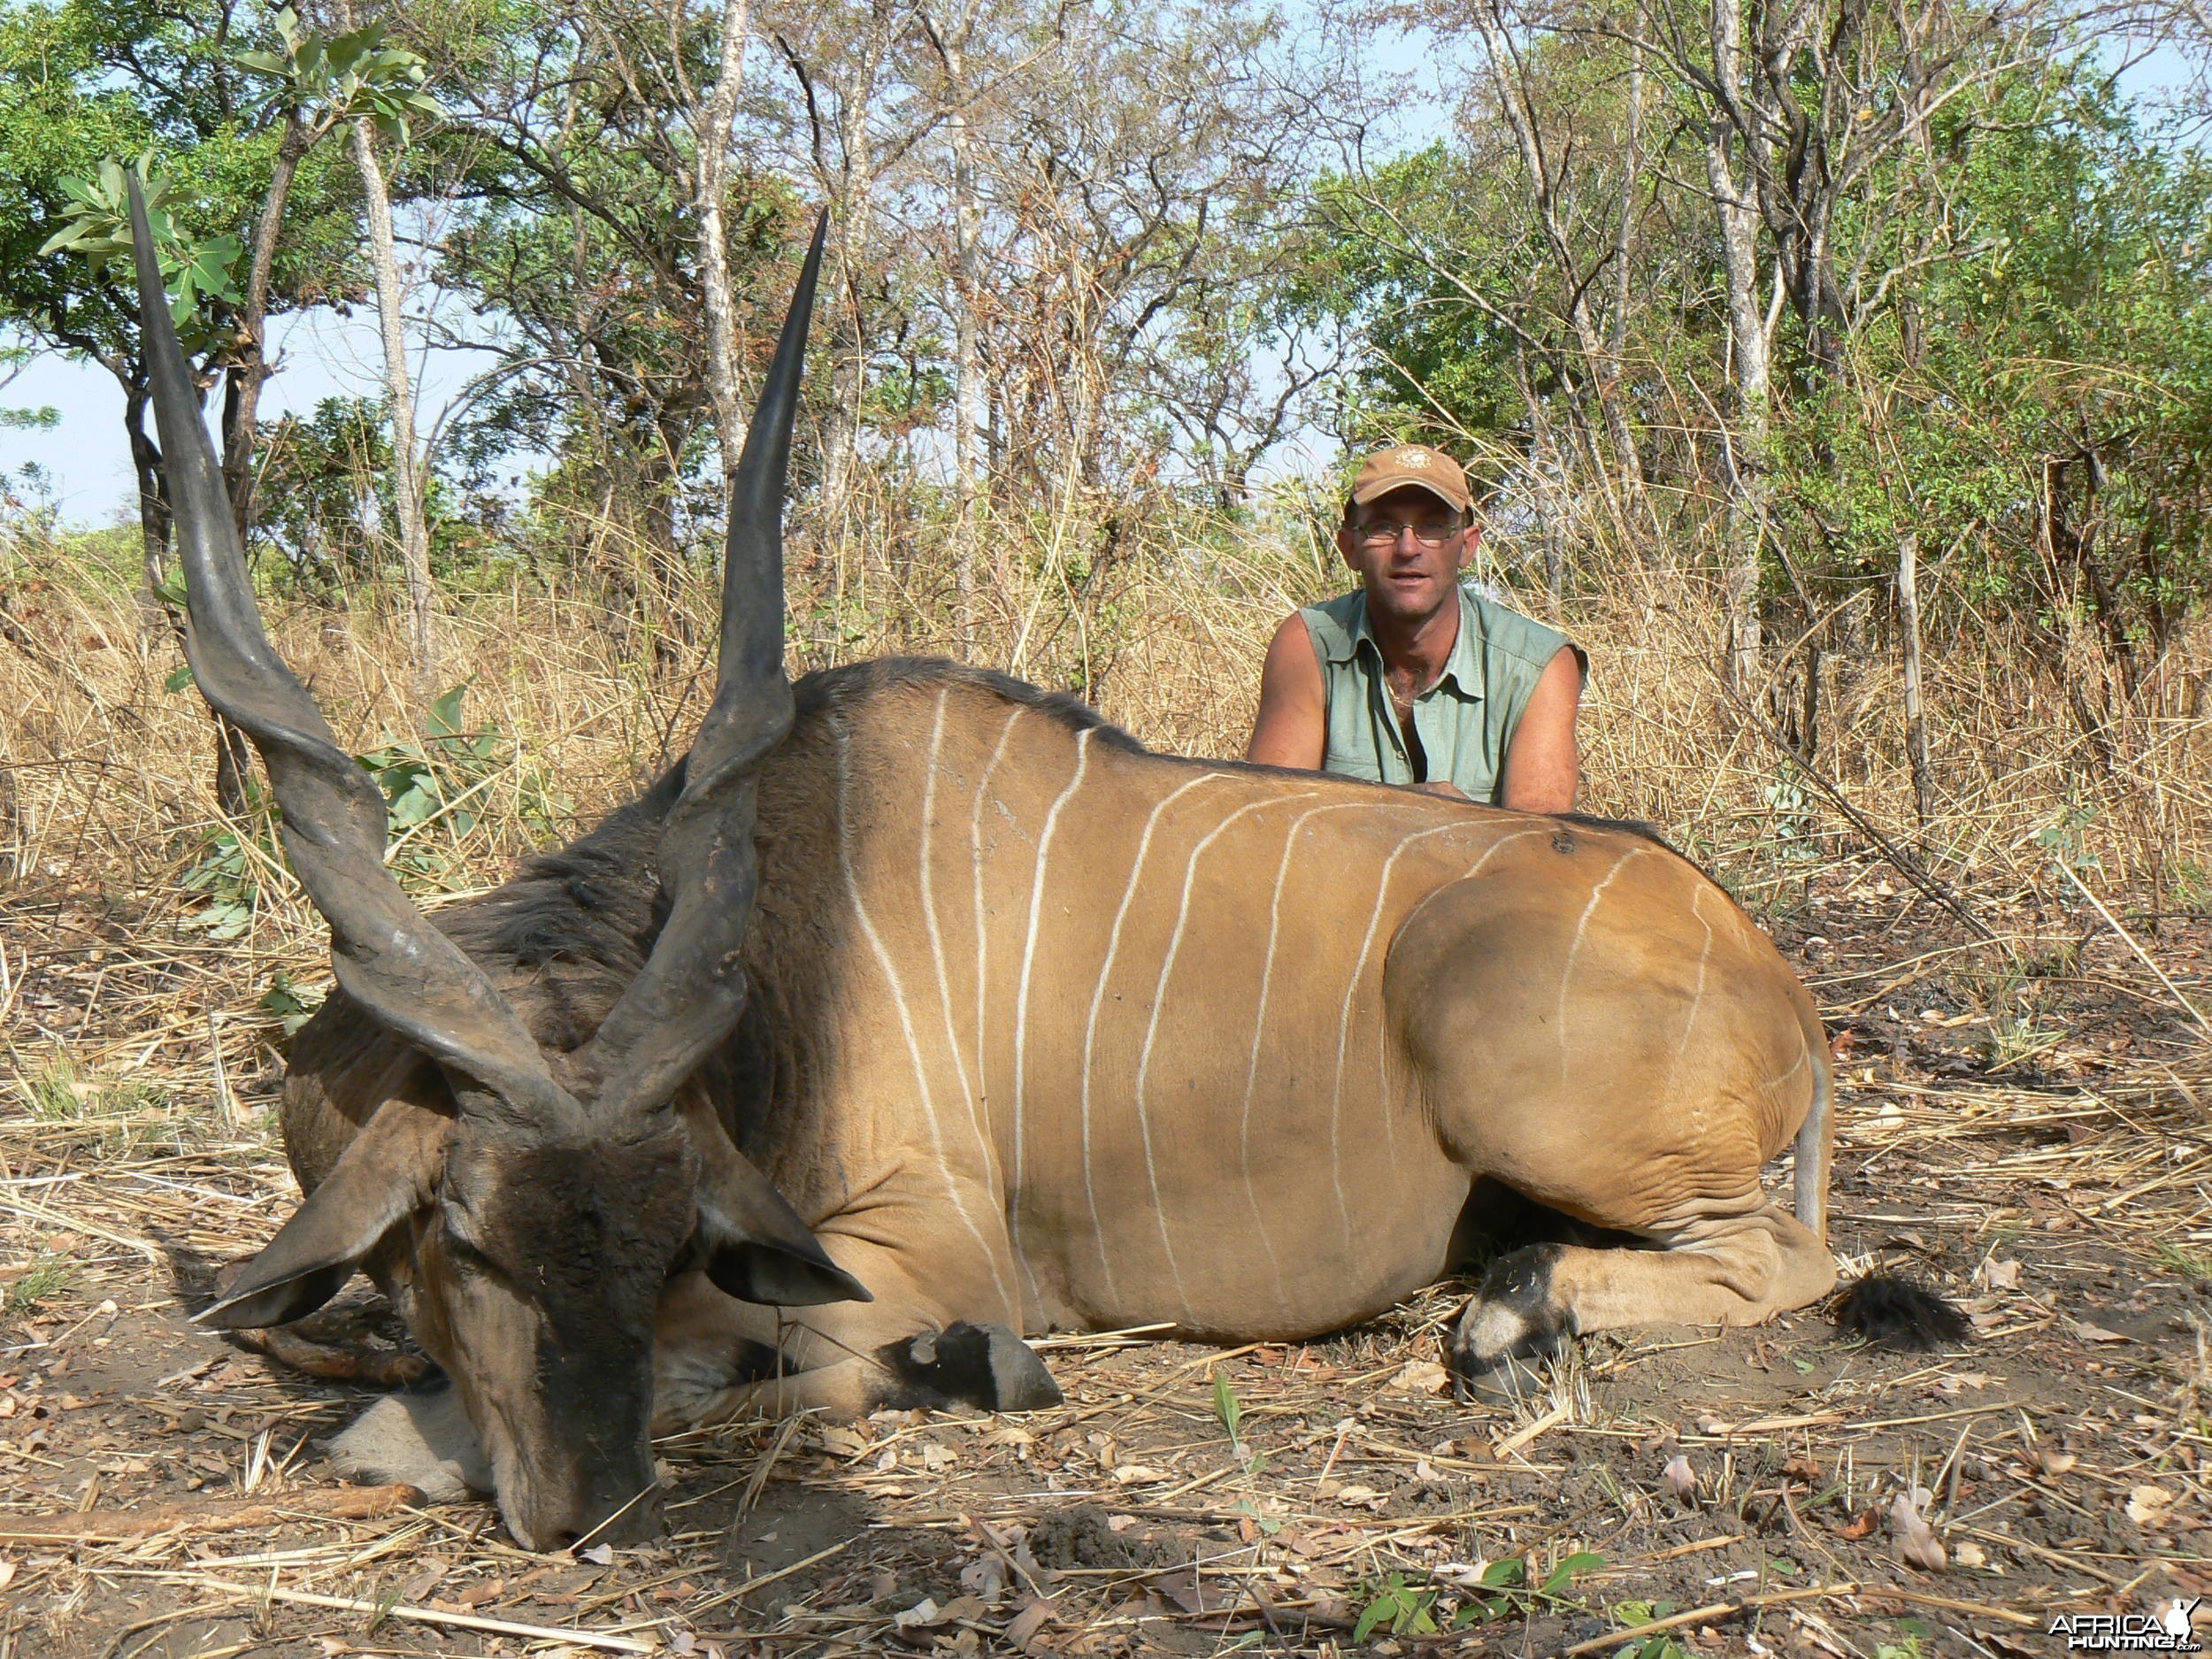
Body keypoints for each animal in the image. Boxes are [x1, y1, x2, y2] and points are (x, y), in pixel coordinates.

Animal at [147, 195, 1920, 1557]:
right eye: (460, 1240)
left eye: (651, 1239)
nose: (587, 1508)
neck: (794, 956)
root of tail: (1778, 979)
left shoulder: (924, 1248)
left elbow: (724, 1352)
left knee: (1789, 1259)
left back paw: (1508, 1313)